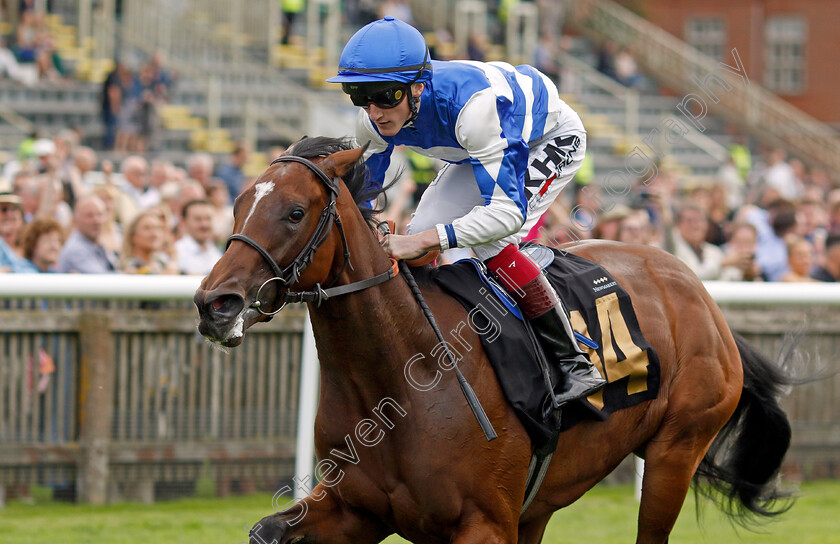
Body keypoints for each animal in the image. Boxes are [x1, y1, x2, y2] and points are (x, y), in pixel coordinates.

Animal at [197, 137, 796, 544]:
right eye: (238, 205)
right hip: (544, 498)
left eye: (295, 212)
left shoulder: (484, 524)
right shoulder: (356, 509)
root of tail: (698, 292)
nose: (213, 304)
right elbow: (269, 530)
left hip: (677, 449)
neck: (403, 377)